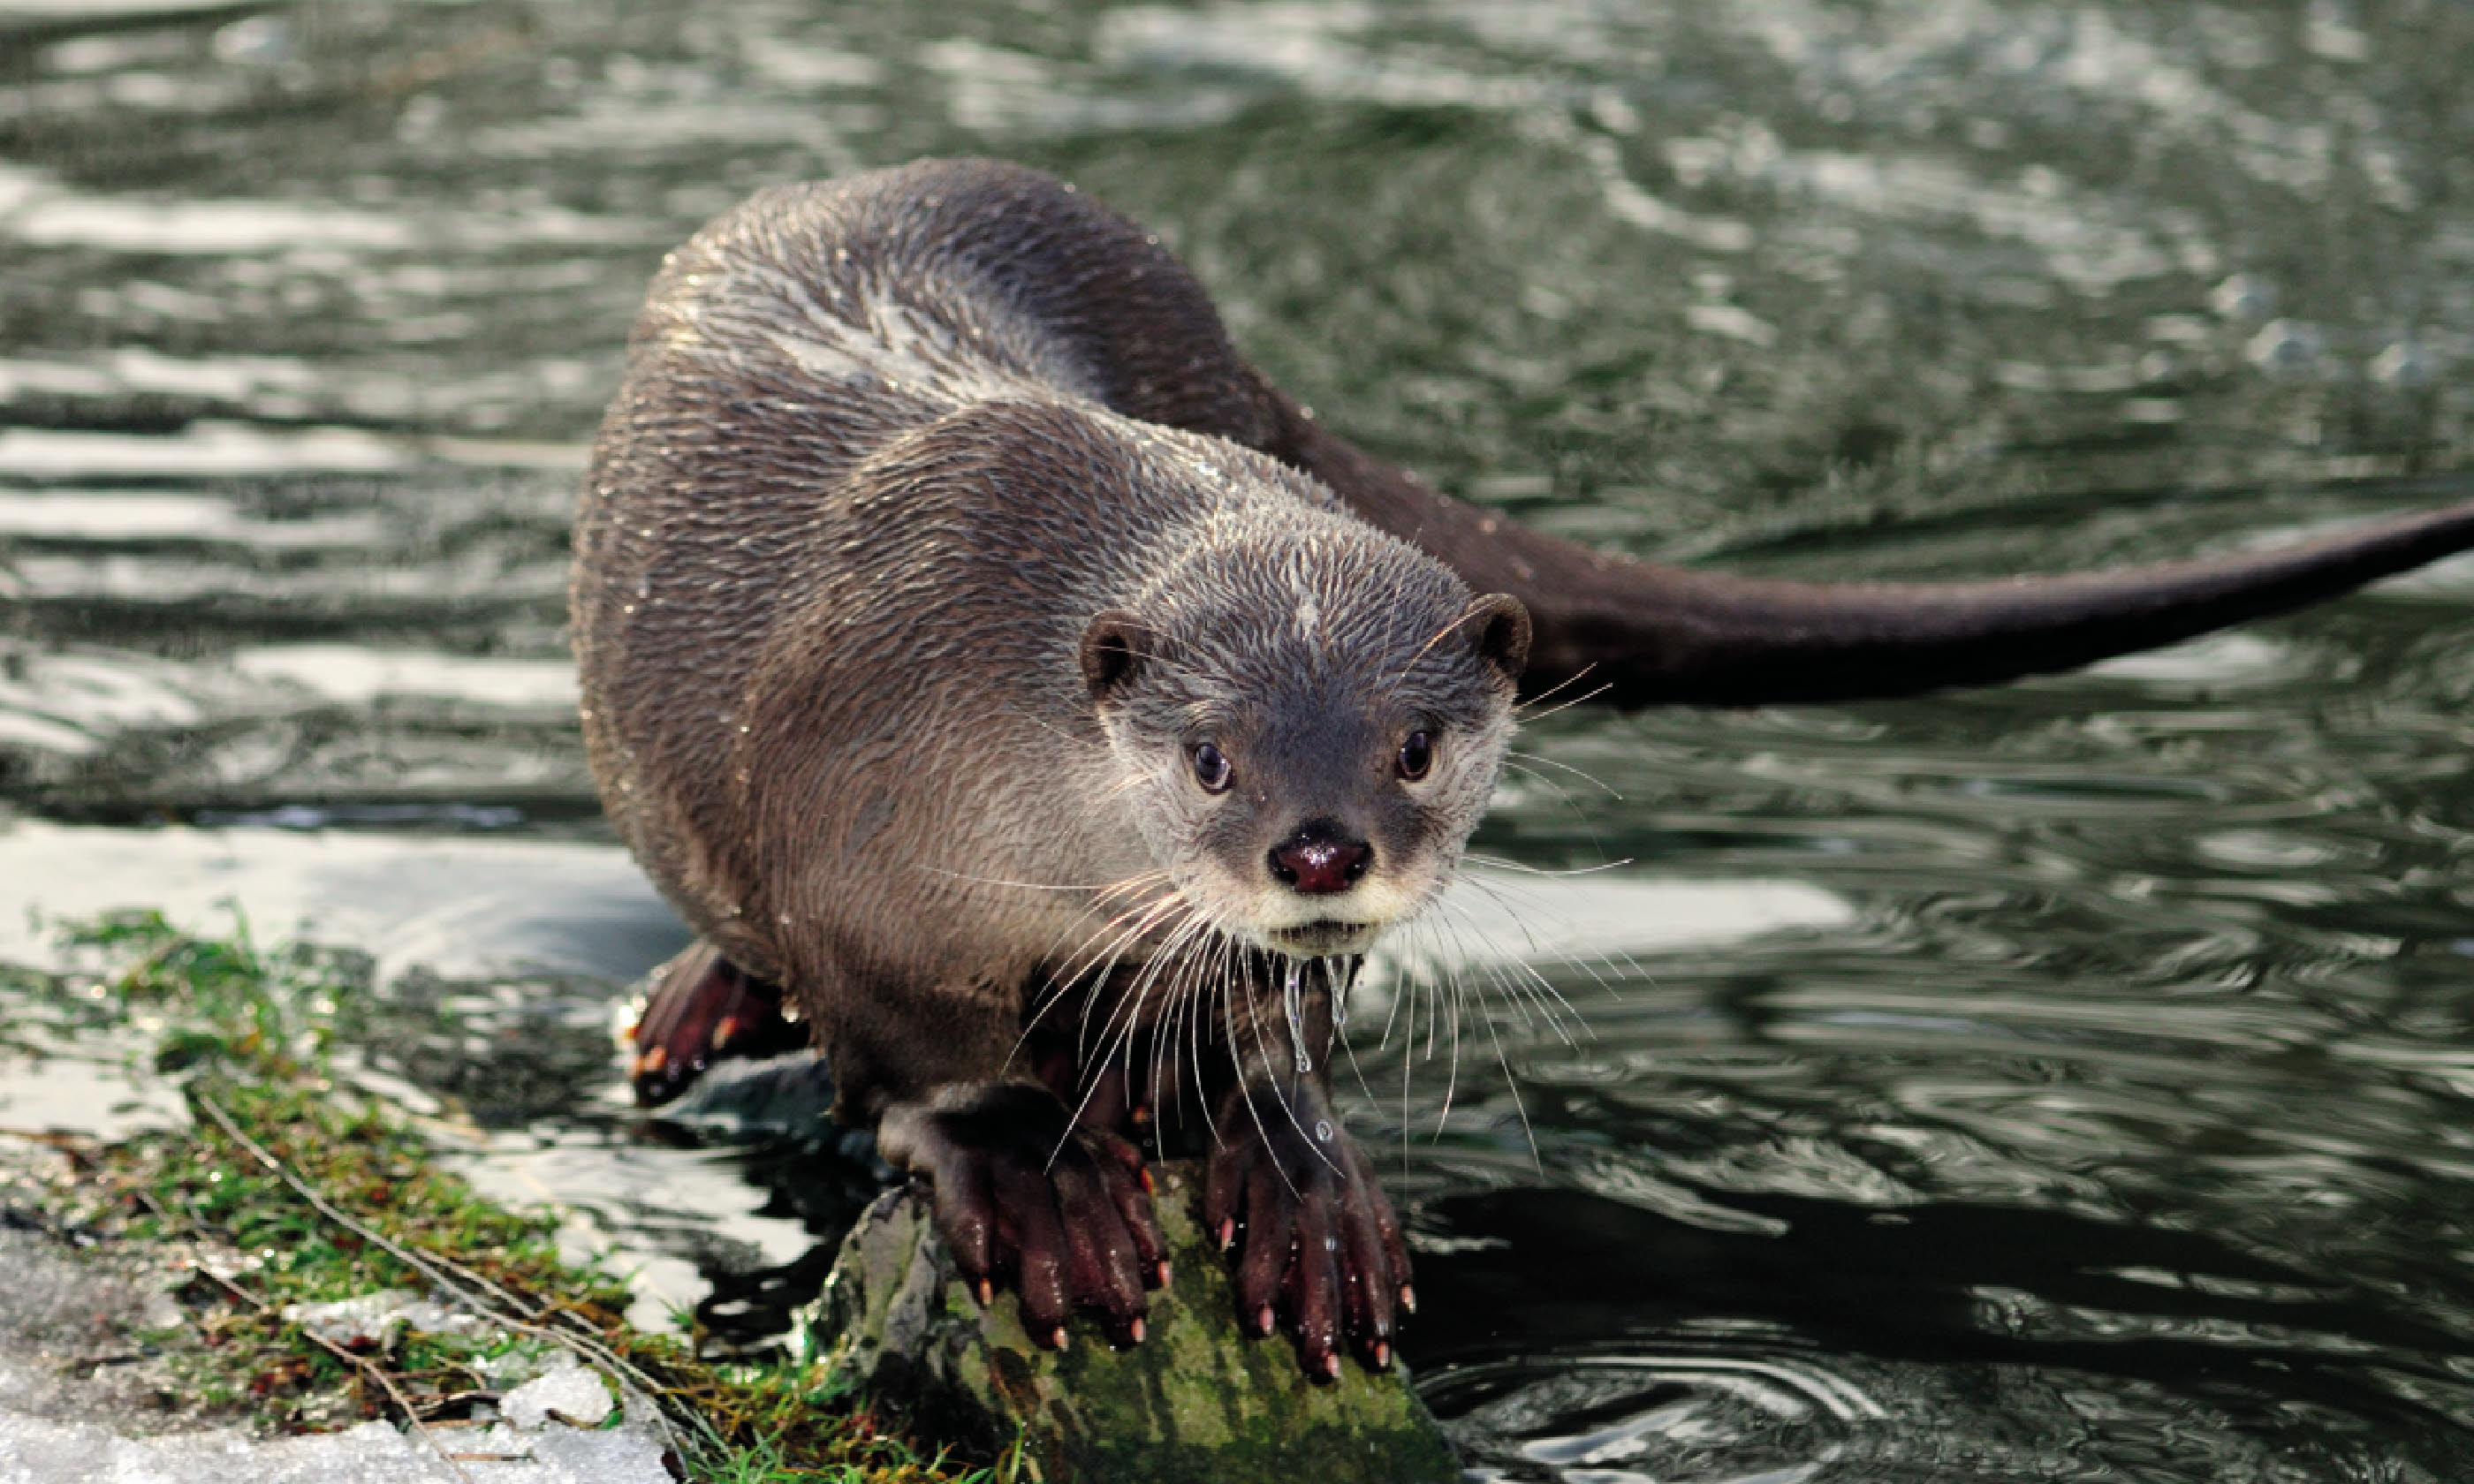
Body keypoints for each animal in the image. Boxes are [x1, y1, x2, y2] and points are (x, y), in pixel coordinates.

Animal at [569, 156, 2474, 1374]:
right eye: (1207, 759)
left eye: (1413, 746)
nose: (1320, 852)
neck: (980, 679)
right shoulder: (839, 857)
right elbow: (909, 1063)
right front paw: (1034, 1183)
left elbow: (1274, 1028)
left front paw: (1299, 1184)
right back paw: (699, 1007)